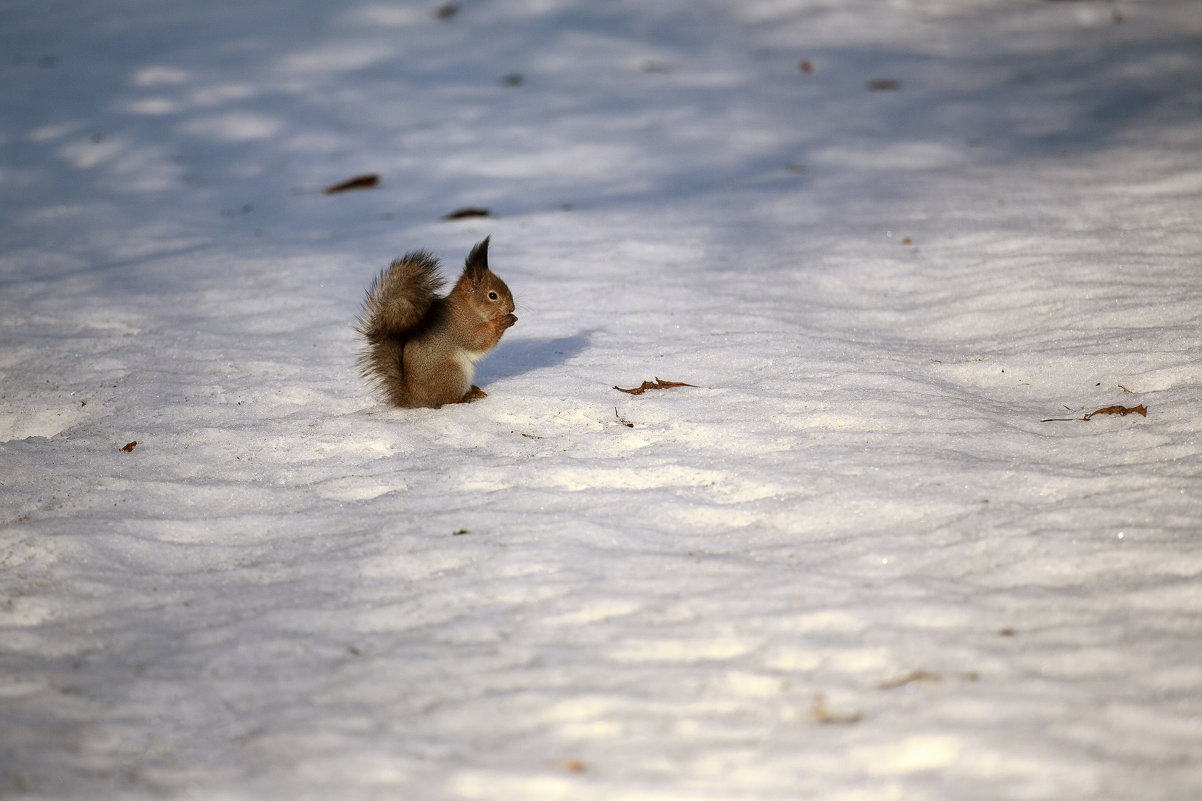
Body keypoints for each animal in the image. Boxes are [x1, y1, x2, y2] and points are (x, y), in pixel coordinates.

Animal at [350, 232, 512, 406]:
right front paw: (502, 322)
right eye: (492, 295)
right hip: (452, 372)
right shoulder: (461, 326)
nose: (512, 308)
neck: (469, 307)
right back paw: (466, 397)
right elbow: (477, 340)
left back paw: (474, 390)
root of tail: (415, 399)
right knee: (448, 400)